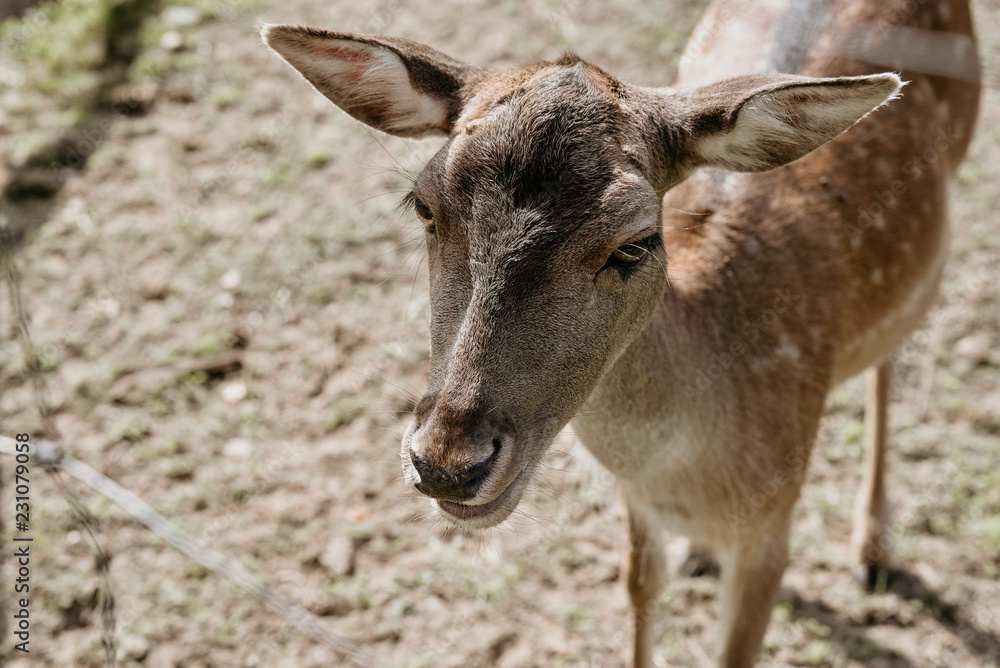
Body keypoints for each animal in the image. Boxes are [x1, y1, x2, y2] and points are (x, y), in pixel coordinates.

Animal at [262, 0, 980, 664]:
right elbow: (639, 589)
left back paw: (875, 548)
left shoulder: (773, 521)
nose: (446, 465)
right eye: (424, 206)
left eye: (634, 243)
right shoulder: (638, 504)